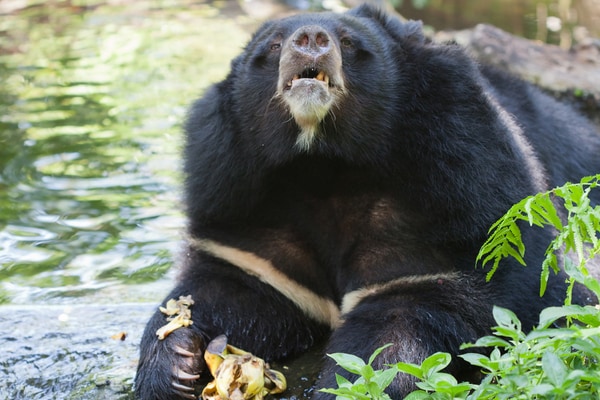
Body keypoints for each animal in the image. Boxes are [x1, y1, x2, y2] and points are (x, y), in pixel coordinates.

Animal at [136, 3, 600, 400]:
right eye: (273, 45)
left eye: (348, 42)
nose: (310, 38)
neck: (323, 166)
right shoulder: (240, 203)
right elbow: (234, 284)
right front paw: (174, 361)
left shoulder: (459, 187)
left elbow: (402, 325)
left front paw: (345, 387)